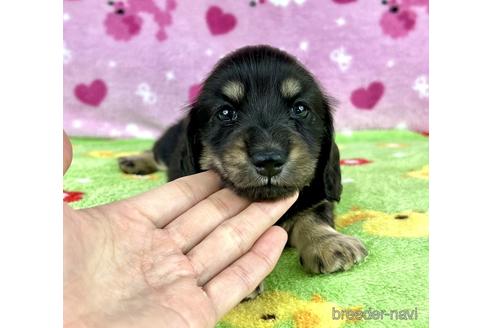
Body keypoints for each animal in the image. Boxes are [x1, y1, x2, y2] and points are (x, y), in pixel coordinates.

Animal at [118, 46, 366, 300]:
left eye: (300, 109)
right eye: (226, 113)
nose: (269, 161)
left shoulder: (315, 196)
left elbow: (313, 216)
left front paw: (330, 243)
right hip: (166, 144)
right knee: (155, 153)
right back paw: (134, 161)